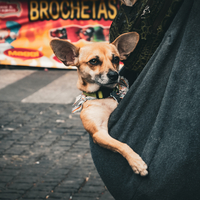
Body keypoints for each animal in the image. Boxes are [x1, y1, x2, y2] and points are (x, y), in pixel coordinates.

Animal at [49, 32, 148, 176]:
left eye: (116, 59)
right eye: (94, 61)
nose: (114, 75)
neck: (104, 96)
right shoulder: (98, 133)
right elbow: (121, 145)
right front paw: (136, 162)